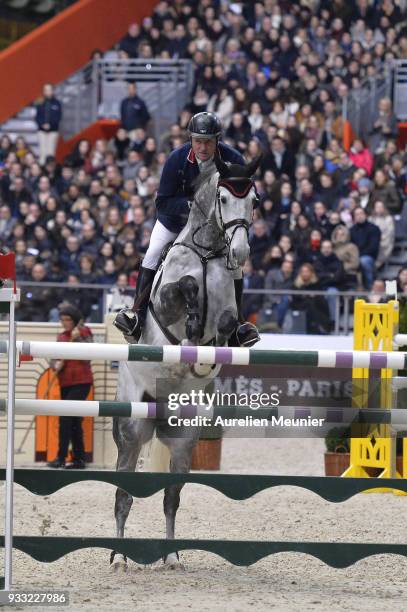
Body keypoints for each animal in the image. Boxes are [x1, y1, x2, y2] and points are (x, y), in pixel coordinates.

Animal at [110, 157, 260, 568]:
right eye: (223, 197)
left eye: (254, 200)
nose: (240, 253)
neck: (207, 252)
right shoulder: (166, 299)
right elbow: (186, 287)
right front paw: (192, 322)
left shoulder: (227, 306)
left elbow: (225, 321)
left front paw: (210, 346)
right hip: (132, 430)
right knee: (123, 494)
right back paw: (118, 557)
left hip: (183, 436)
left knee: (171, 498)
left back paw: (173, 557)